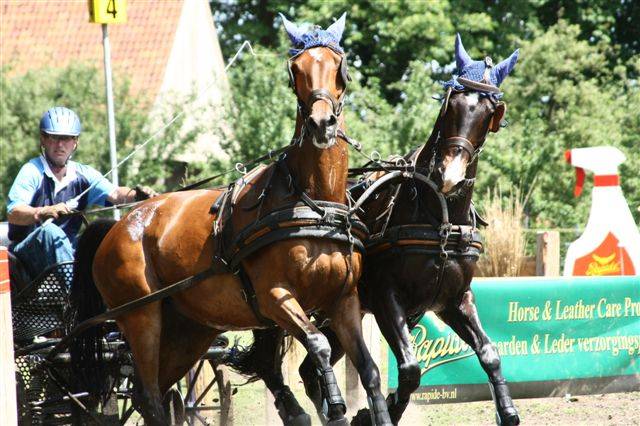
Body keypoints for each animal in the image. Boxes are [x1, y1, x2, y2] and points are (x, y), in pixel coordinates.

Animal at [69, 13, 391, 426]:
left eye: (340, 66)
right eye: (295, 70)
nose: (322, 123)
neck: (313, 202)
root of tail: (119, 225)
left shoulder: (343, 300)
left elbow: (368, 368)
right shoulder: (275, 298)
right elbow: (318, 344)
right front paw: (334, 406)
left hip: (190, 329)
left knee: (150, 392)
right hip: (141, 318)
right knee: (150, 394)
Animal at [233, 34, 522, 426]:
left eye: (490, 113)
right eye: (451, 105)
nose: (449, 175)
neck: (439, 216)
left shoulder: (455, 299)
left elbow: (490, 353)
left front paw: (507, 411)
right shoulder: (387, 298)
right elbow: (411, 369)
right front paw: (372, 412)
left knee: (308, 369)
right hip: (277, 305)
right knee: (272, 362)